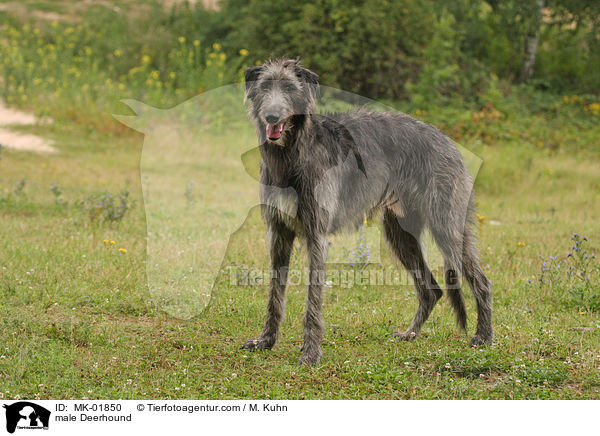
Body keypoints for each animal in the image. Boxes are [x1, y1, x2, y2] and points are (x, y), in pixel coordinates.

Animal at [241, 58, 494, 364]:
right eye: (265, 86)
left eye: (290, 88)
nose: (272, 117)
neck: (292, 153)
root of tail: (449, 142)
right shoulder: (279, 233)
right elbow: (274, 295)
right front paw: (265, 340)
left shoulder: (317, 234)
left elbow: (313, 299)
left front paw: (311, 353)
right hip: (401, 234)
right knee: (431, 290)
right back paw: (410, 334)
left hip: (446, 225)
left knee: (480, 281)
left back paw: (483, 336)